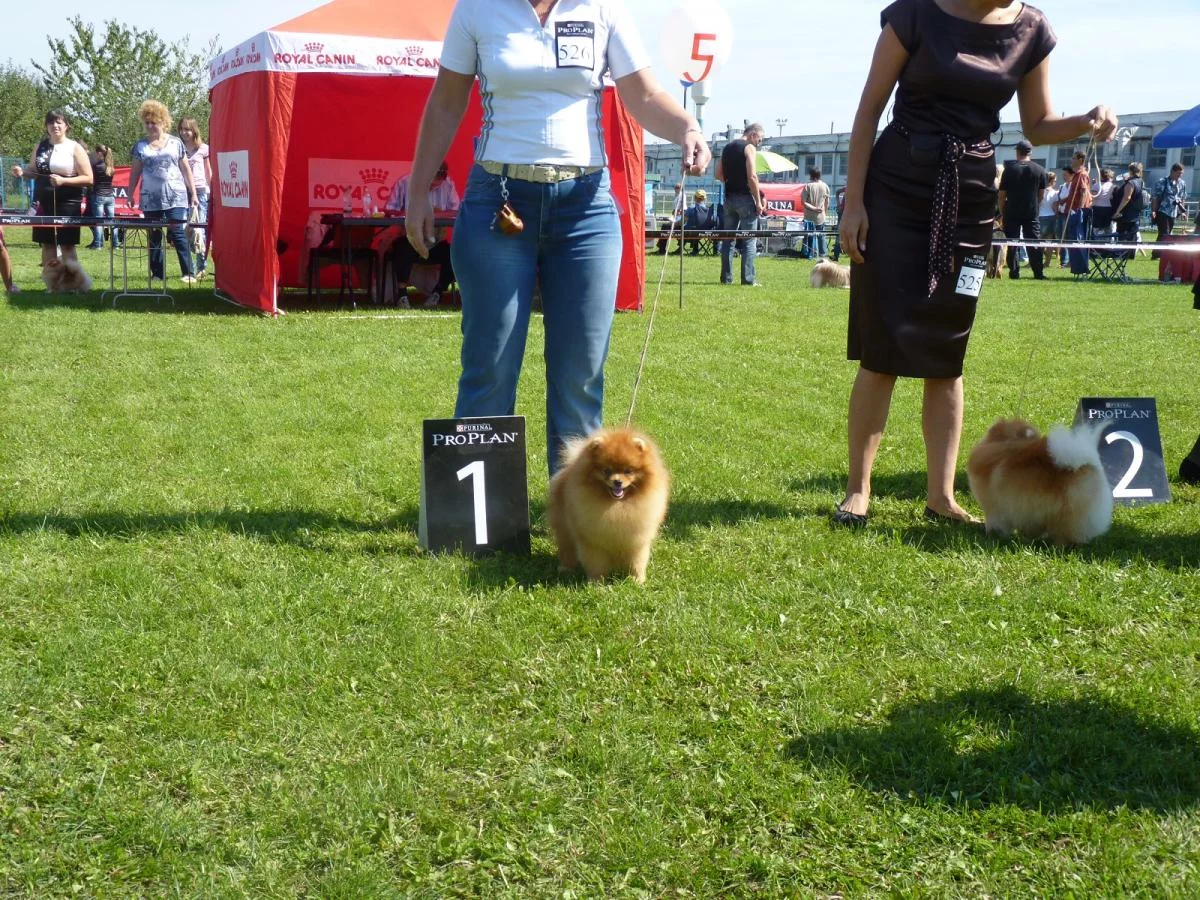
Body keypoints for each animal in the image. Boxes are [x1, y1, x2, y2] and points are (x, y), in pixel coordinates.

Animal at [546, 427, 670, 584]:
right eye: (606, 470)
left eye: (628, 471)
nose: (617, 481)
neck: (617, 506)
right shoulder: (593, 542)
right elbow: (596, 563)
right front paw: (596, 582)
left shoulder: (637, 542)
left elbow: (637, 562)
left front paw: (637, 581)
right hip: (564, 526)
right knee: (566, 547)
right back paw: (566, 568)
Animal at [967, 418, 1113, 545]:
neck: (1005, 443)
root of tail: (1087, 463)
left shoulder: (993, 507)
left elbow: (995, 522)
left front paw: (993, 534)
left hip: (1070, 512)